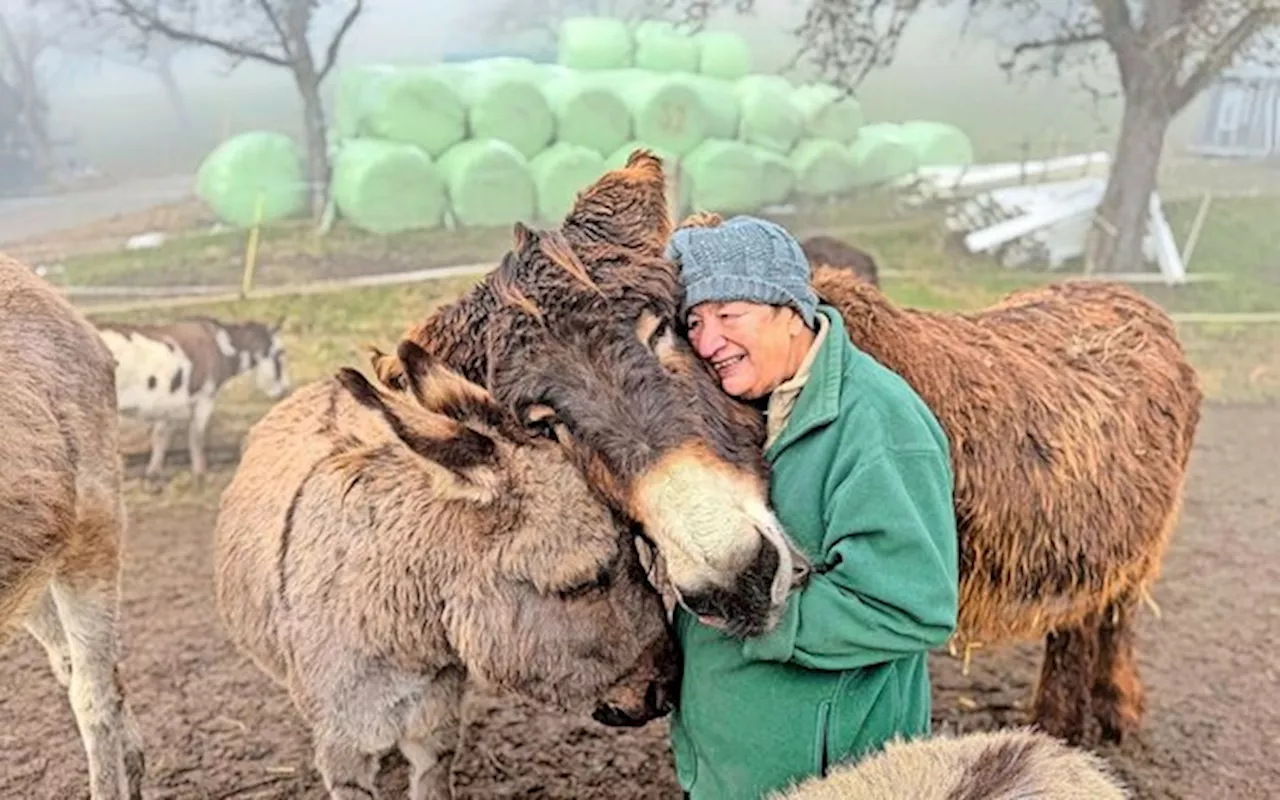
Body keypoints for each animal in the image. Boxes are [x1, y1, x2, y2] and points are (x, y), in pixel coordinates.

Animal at [97, 314, 293, 483]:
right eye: (281, 354)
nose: (286, 390)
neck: (220, 346)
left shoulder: (169, 404)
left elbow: (160, 438)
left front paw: (153, 475)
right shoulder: (205, 399)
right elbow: (197, 437)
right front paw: (200, 475)